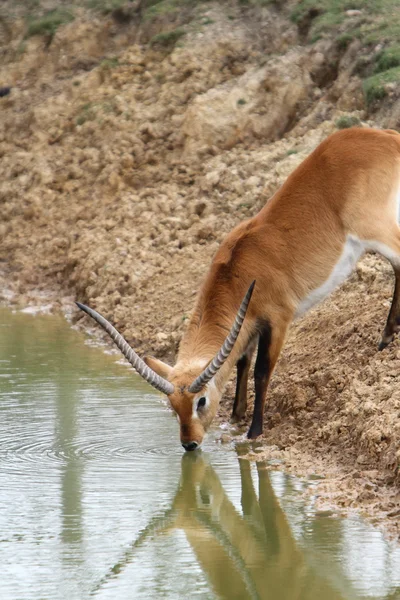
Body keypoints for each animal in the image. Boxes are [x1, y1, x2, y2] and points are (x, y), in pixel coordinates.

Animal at [76, 129, 400, 452]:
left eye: (201, 401)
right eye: (173, 406)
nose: (189, 444)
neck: (237, 271)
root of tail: (385, 136)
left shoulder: (278, 320)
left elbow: (261, 371)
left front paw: (254, 431)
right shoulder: (249, 325)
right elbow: (243, 362)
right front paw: (235, 417)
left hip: (375, 232)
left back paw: (385, 337)